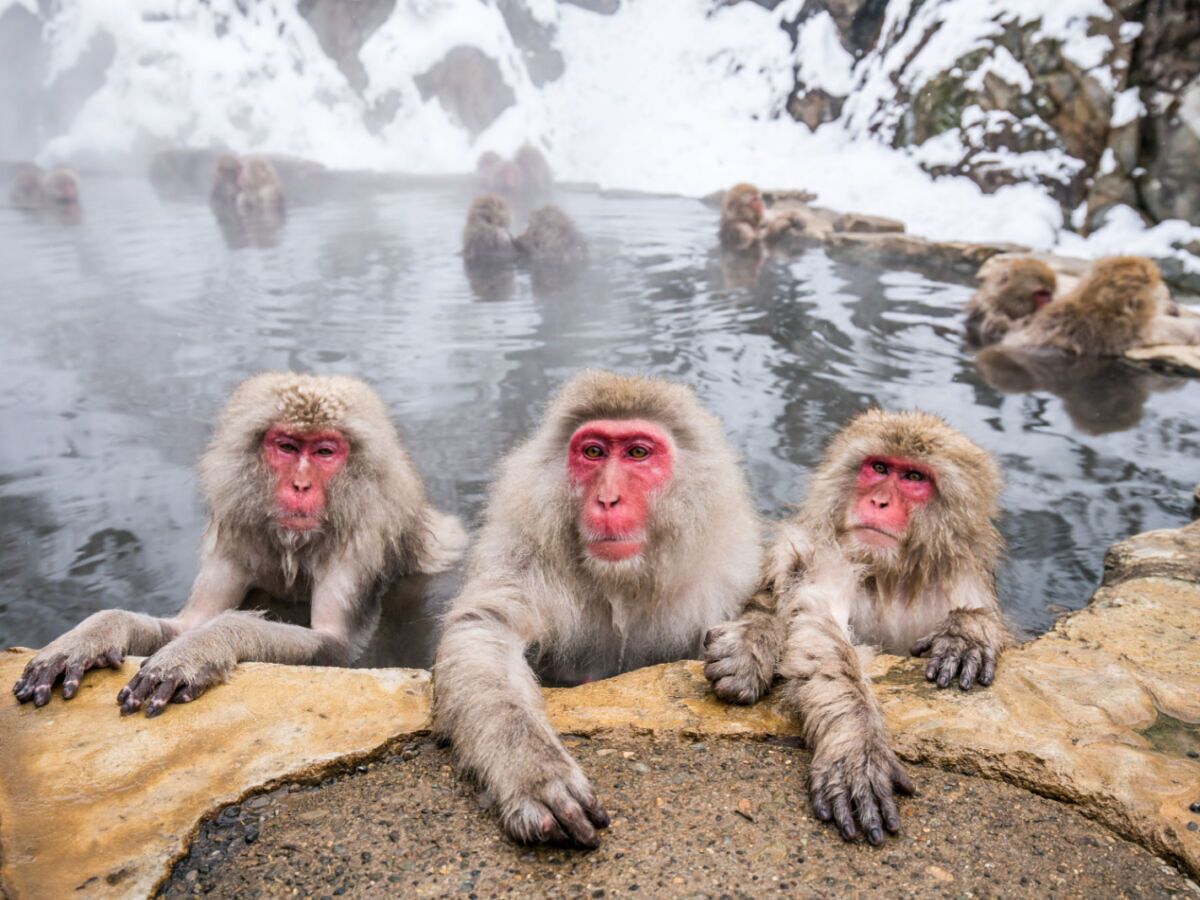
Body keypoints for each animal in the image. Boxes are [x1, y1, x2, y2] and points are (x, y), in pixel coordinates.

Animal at [13, 373, 467, 716]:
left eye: (325, 451)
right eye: (287, 447)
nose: (300, 486)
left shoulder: (360, 542)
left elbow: (338, 647)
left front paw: (204, 646)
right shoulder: (237, 532)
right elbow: (187, 622)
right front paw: (93, 634)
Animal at [433, 370, 762, 848]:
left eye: (638, 453)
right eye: (593, 452)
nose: (607, 500)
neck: (622, 582)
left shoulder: (728, 571)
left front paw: (750, 649)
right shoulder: (525, 556)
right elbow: (486, 629)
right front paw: (534, 772)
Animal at [703, 410, 1010, 845]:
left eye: (913, 477)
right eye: (878, 468)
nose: (878, 501)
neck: (889, 577)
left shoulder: (961, 576)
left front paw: (966, 634)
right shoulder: (827, 555)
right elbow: (819, 626)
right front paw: (858, 746)